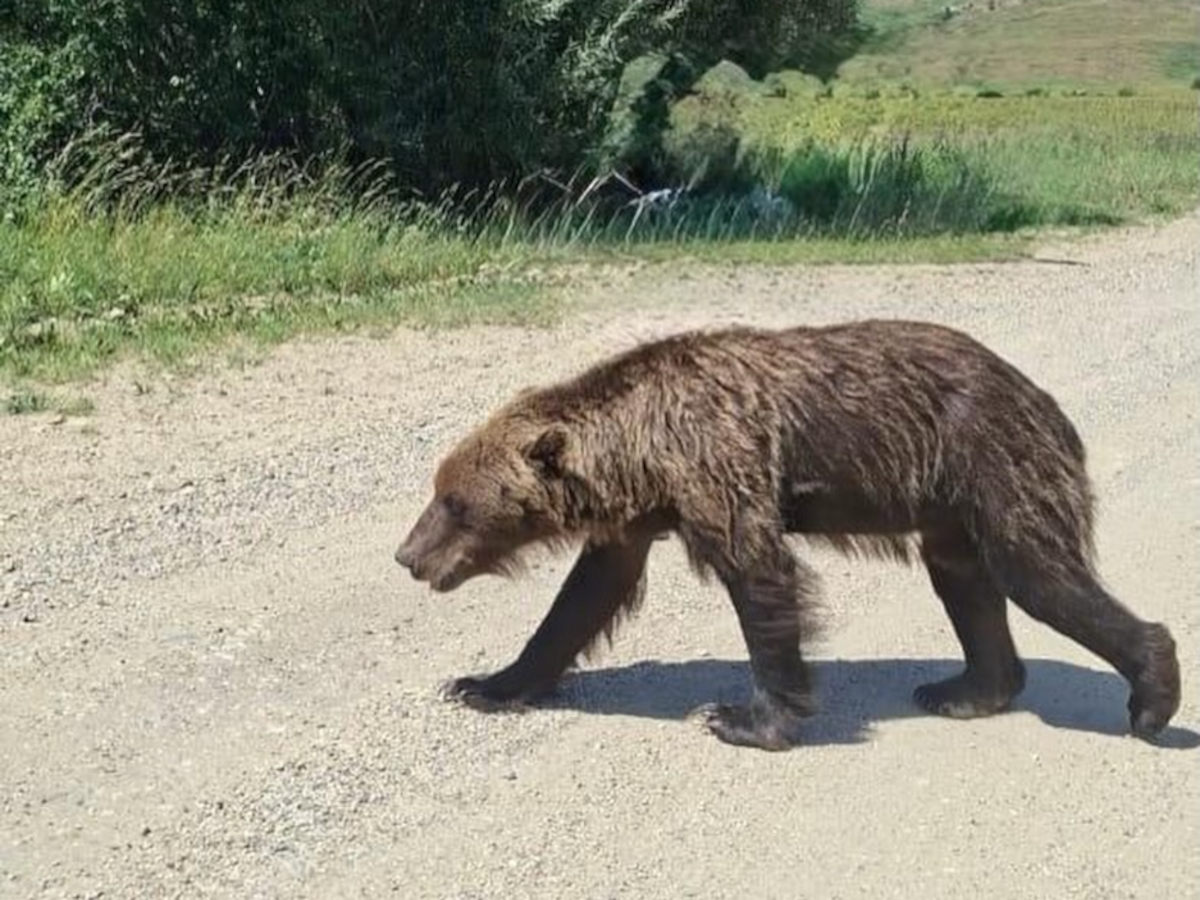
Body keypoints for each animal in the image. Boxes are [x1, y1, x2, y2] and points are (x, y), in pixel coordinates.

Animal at [394, 318, 1181, 751]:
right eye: (438, 490)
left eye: (456, 502)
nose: (407, 555)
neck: (642, 452)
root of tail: (1047, 401)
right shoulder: (635, 521)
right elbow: (582, 599)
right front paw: (486, 684)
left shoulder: (719, 466)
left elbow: (762, 580)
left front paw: (744, 718)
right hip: (949, 507)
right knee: (966, 582)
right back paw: (963, 689)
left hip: (993, 462)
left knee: (1039, 572)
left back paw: (1151, 696)